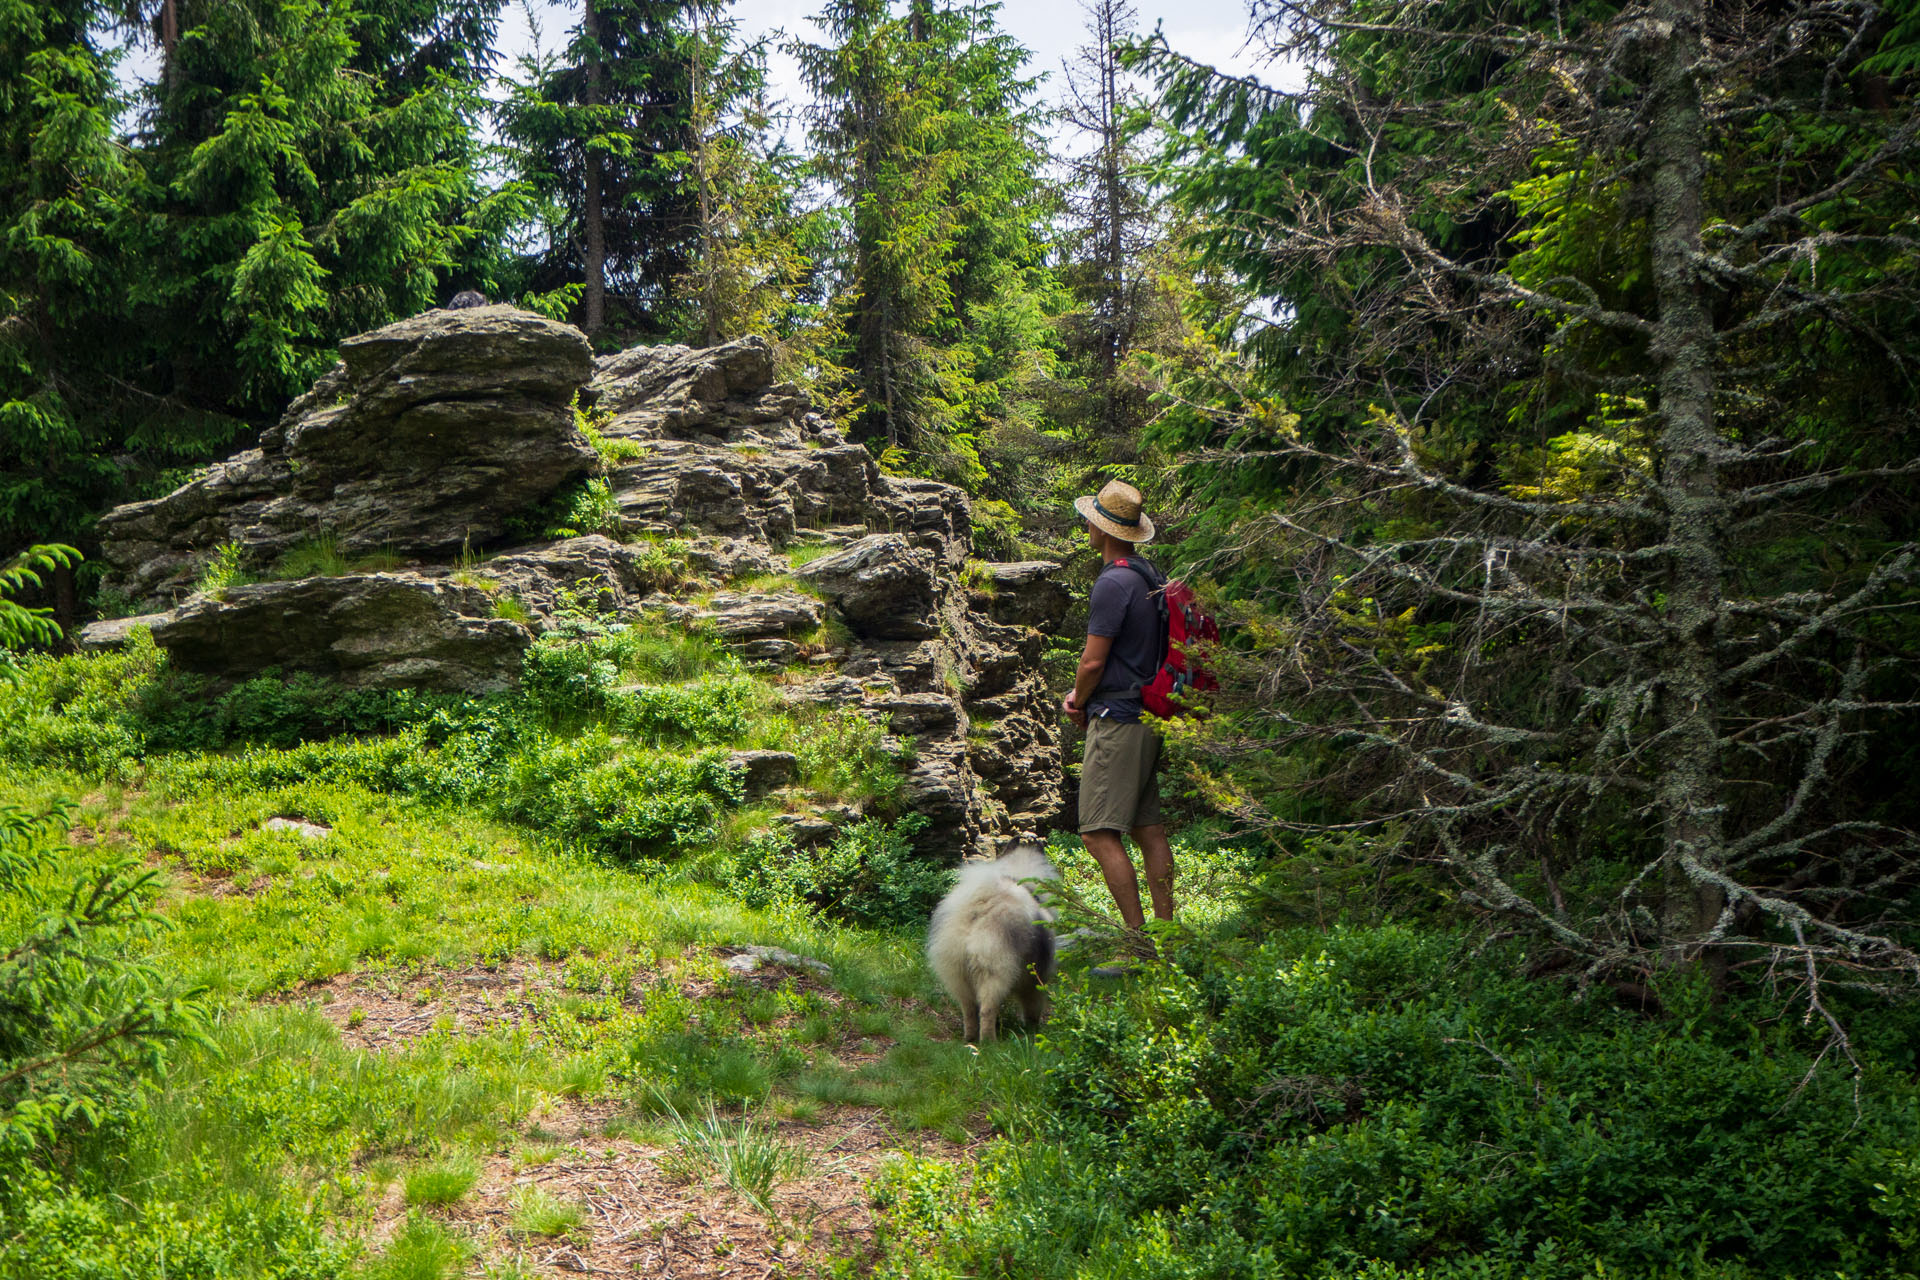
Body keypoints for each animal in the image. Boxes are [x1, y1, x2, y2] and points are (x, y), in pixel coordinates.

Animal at [929, 852, 1067, 1043]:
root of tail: (977, 910)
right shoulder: (1036, 979)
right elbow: (1033, 1006)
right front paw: (1033, 1029)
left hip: (958, 974)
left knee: (969, 1009)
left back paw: (970, 1037)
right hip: (994, 971)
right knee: (987, 1009)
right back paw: (989, 1040)